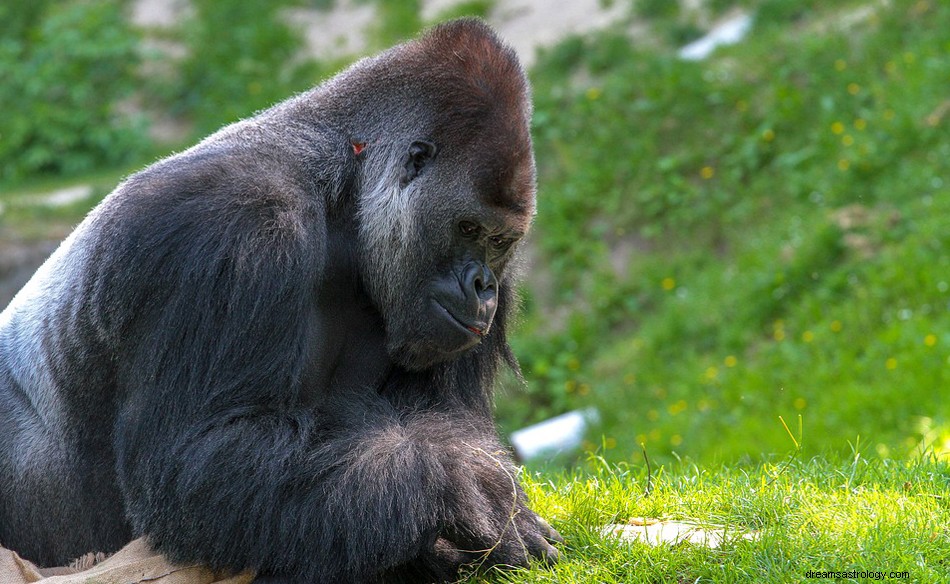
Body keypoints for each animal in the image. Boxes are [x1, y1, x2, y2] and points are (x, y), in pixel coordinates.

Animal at [0, 19, 560, 584]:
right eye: (467, 229)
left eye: (500, 242)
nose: (483, 286)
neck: (344, 195)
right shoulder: (234, 227)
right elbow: (196, 461)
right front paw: (459, 484)